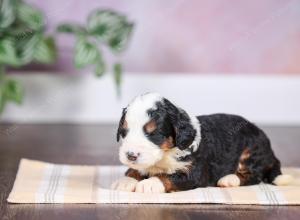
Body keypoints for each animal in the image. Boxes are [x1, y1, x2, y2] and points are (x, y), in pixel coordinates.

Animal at [111, 93, 292, 192]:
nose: (130, 155)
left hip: (251, 151)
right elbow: (133, 170)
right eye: (124, 132)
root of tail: (270, 153)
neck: (166, 155)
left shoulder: (195, 171)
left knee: (254, 176)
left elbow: (169, 177)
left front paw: (150, 183)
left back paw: (229, 179)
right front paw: (125, 181)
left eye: (153, 133)